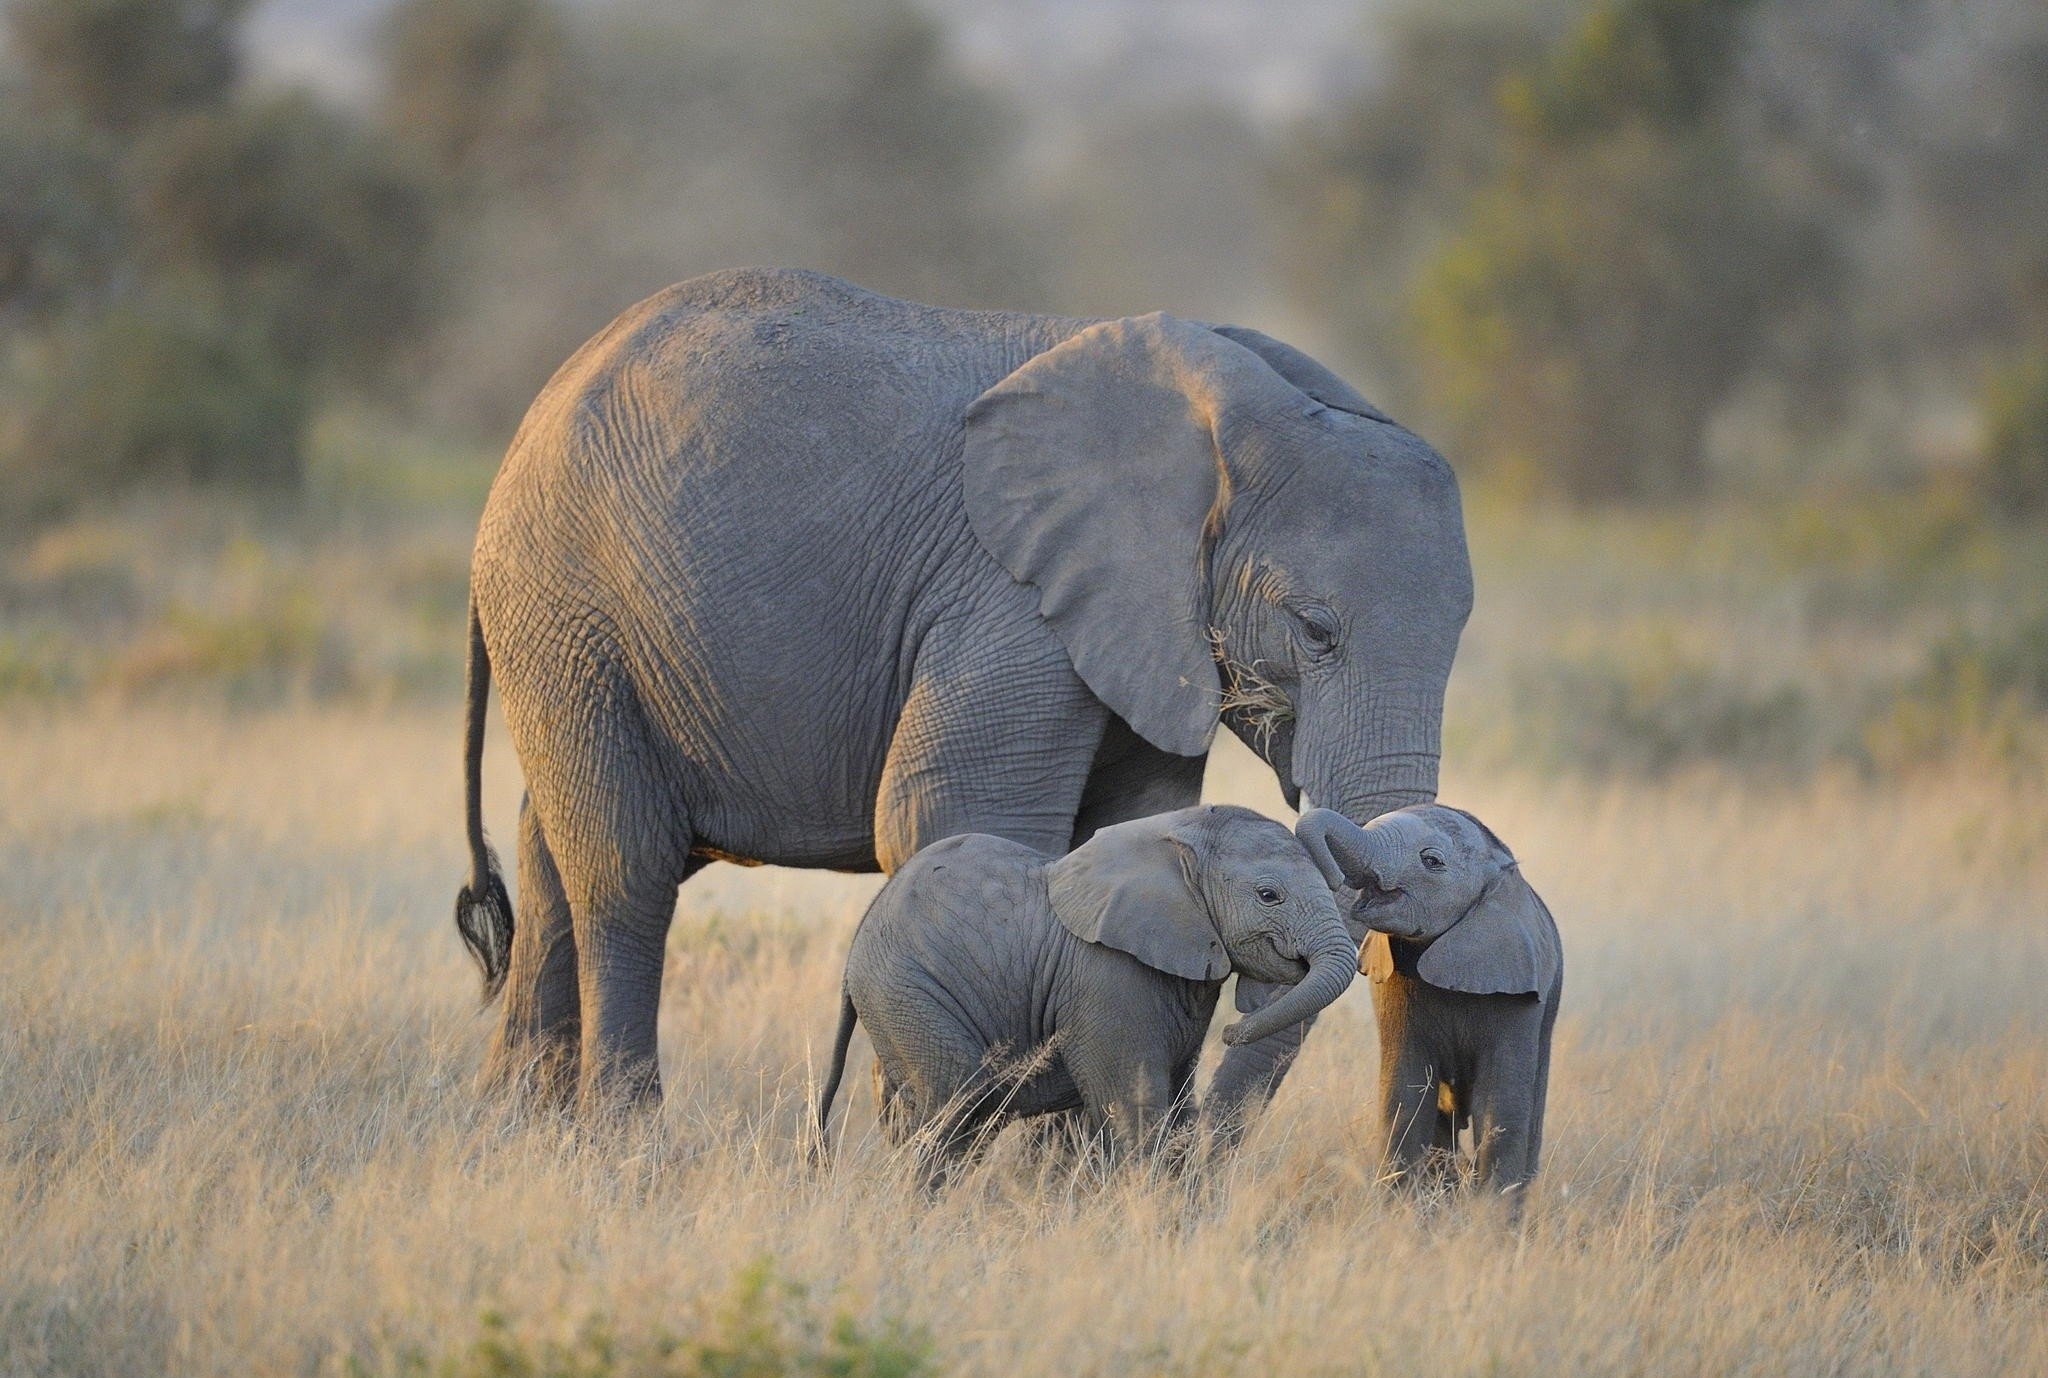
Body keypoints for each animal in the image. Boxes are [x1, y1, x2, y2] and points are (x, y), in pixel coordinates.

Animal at [453, 267, 1473, 1112]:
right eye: (1316, 630)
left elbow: (1125, 830)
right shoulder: (1007, 598)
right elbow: (953, 815)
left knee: (551, 855)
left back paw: (519, 1132)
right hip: (568, 607)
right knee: (624, 871)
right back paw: (623, 1140)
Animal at [815, 805, 1358, 1183]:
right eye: (1269, 896)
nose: (1231, 1031)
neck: (1177, 837)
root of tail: (859, 939)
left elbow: (1179, 1105)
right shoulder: (1108, 978)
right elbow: (1135, 1107)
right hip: (907, 991)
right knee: (957, 1105)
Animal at [1293, 806, 1562, 1204]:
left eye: (1431, 861)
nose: (1332, 877)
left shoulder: (1518, 989)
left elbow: (1500, 1108)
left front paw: (1490, 1218)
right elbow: (1405, 1095)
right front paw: (1400, 1209)